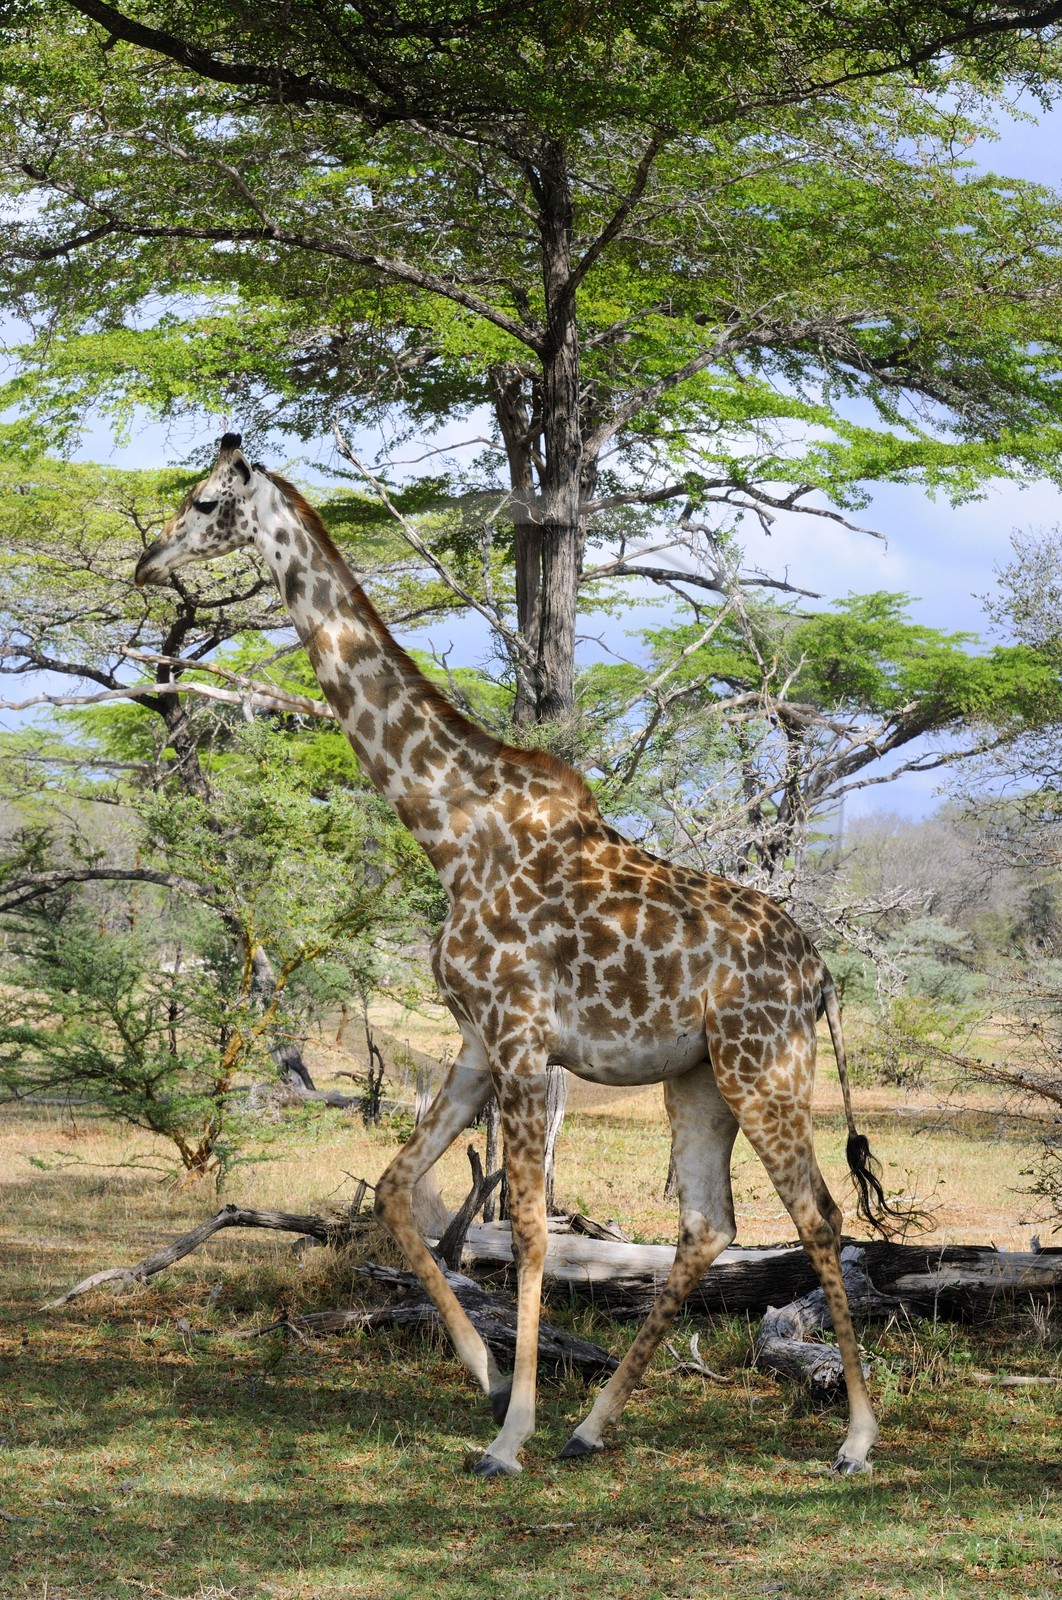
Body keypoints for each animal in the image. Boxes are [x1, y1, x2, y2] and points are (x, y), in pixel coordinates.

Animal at [135, 434, 908, 1479]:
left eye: (208, 502)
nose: (147, 563)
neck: (450, 828)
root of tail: (821, 974)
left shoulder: (520, 1038)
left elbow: (532, 1226)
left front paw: (511, 1435)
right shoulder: (474, 1040)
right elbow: (396, 1189)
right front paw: (492, 1378)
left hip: (764, 1065)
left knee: (820, 1216)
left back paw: (856, 1438)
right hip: (698, 1077)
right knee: (710, 1223)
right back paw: (594, 1425)